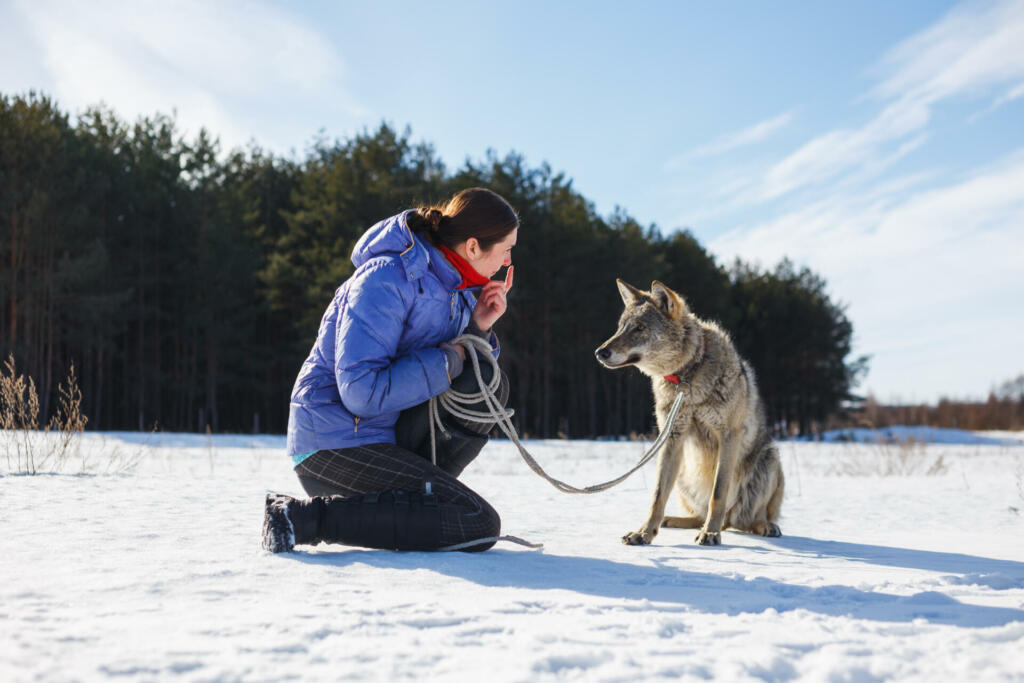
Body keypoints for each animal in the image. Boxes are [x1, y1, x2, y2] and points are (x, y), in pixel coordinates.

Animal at [593, 278, 782, 544]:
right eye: (620, 328)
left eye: (640, 328)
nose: (600, 352)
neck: (687, 378)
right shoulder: (672, 437)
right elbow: (657, 496)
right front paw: (644, 533)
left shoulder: (729, 436)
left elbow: (718, 493)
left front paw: (710, 534)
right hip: (683, 471)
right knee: (701, 516)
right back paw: (674, 521)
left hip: (769, 460)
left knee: (746, 520)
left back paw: (763, 526)